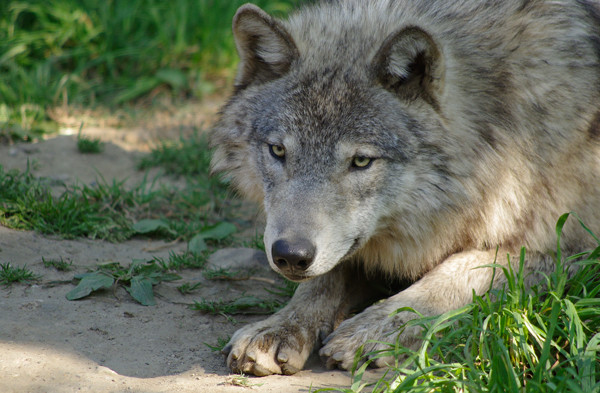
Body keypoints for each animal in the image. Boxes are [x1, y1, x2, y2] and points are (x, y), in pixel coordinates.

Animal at [210, 0, 600, 374]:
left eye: (361, 161)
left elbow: (456, 273)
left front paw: (374, 330)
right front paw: (279, 327)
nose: (291, 255)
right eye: (278, 151)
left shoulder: (572, 247)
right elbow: (322, 281)